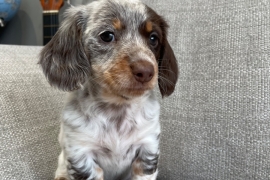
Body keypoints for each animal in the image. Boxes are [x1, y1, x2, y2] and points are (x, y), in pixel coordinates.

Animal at [38, 0, 177, 180]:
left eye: (153, 38)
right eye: (107, 35)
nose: (146, 71)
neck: (117, 109)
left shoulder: (147, 147)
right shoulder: (81, 154)